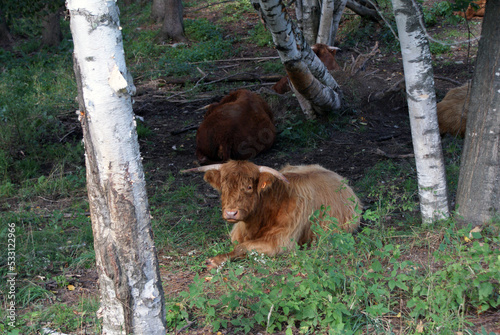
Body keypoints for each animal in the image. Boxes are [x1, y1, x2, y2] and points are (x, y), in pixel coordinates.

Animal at [182, 161, 362, 270]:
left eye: (249, 187)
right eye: (223, 187)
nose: (231, 213)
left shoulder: (280, 241)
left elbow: (243, 247)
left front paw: (215, 260)